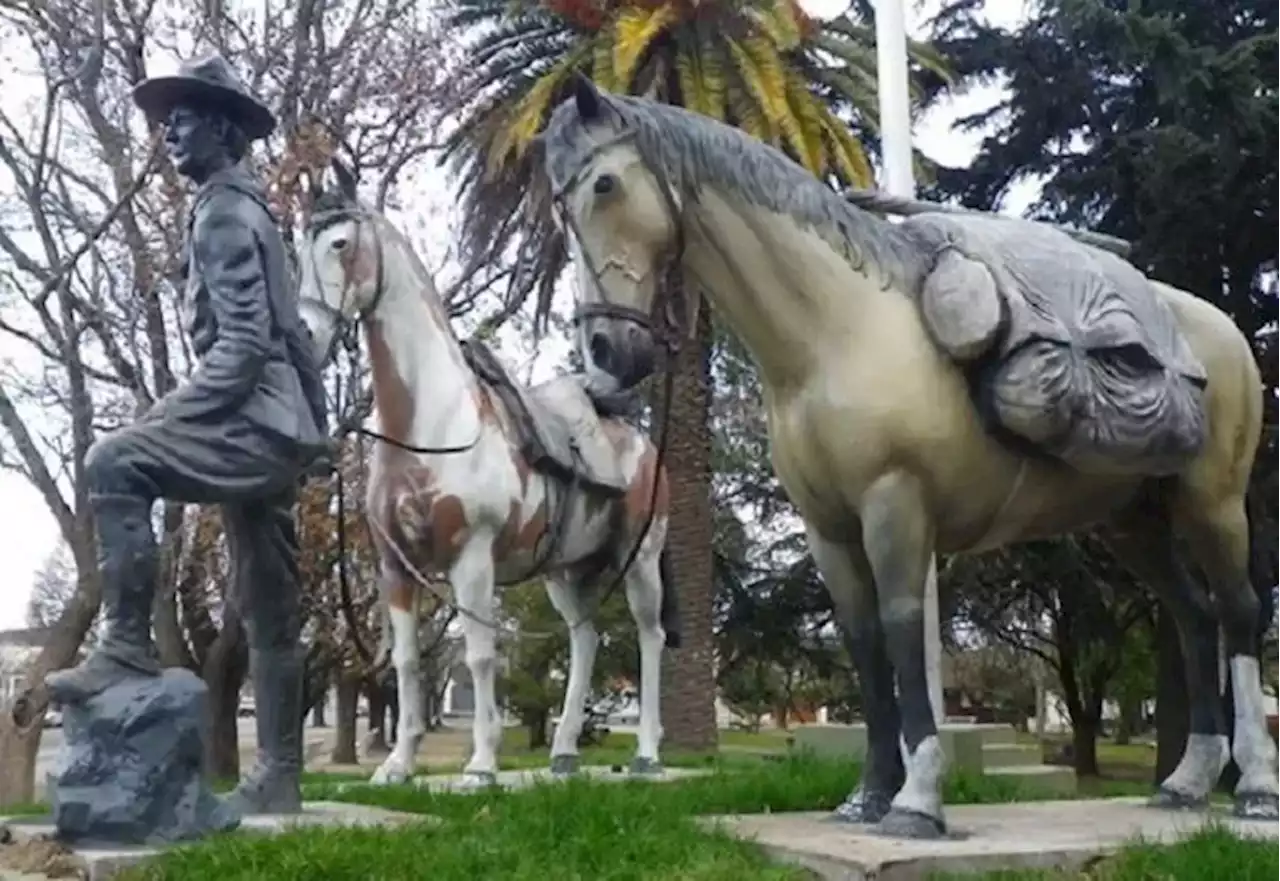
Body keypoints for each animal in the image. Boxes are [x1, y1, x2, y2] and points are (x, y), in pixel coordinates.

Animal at [293, 161, 680, 788]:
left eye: (340, 244)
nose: (305, 335)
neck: (431, 423)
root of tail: (643, 442)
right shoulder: (395, 569)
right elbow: (405, 661)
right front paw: (399, 765)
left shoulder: (471, 561)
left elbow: (478, 655)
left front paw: (481, 765)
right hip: (565, 571)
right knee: (585, 637)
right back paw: (564, 754)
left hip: (640, 560)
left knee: (650, 636)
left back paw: (646, 753)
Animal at [542, 77, 1280, 840]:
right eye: (557, 206)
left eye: (604, 184)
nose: (606, 353)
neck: (836, 333)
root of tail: (1221, 331)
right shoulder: (829, 528)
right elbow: (865, 642)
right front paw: (868, 795)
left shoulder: (895, 503)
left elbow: (902, 628)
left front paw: (918, 799)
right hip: (1132, 520)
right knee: (1194, 615)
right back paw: (1186, 782)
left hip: (1214, 503)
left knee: (1239, 611)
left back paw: (1254, 787)